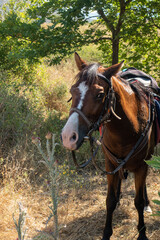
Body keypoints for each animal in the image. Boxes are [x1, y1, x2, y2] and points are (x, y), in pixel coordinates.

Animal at [61, 53, 158, 240]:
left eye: (100, 95)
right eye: (72, 90)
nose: (68, 137)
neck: (127, 129)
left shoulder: (141, 166)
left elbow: (138, 201)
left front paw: (142, 233)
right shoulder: (109, 164)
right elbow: (110, 201)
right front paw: (106, 233)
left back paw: (147, 204)